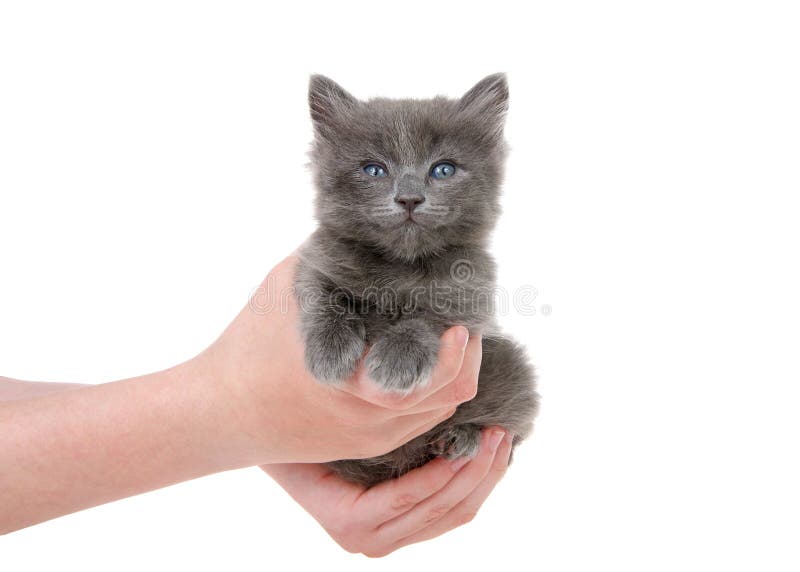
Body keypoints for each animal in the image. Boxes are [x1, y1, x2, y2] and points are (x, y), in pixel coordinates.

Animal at [292, 72, 536, 488]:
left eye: (444, 170)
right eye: (373, 170)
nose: (409, 198)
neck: (402, 264)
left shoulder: (472, 292)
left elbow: (430, 314)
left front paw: (398, 357)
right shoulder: (315, 259)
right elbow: (323, 295)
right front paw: (329, 349)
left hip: (509, 365)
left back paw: (461, 436)